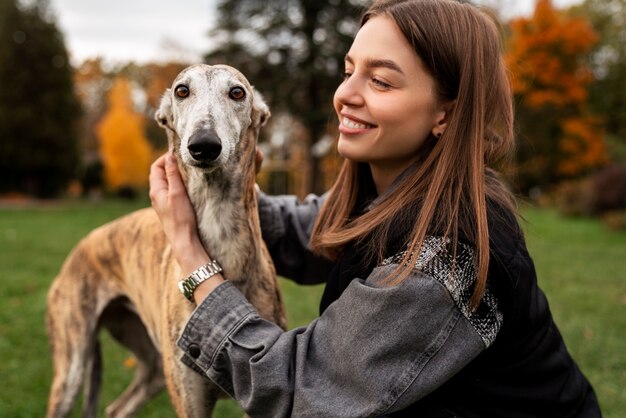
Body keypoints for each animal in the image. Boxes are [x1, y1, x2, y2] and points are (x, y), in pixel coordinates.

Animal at [45, 63, 286, 416]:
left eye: (237, 92)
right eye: (181, 90)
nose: (203, 145)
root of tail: (81, 246)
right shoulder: (189, 399)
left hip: (152, 365)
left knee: (115, 408)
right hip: (73, 366)